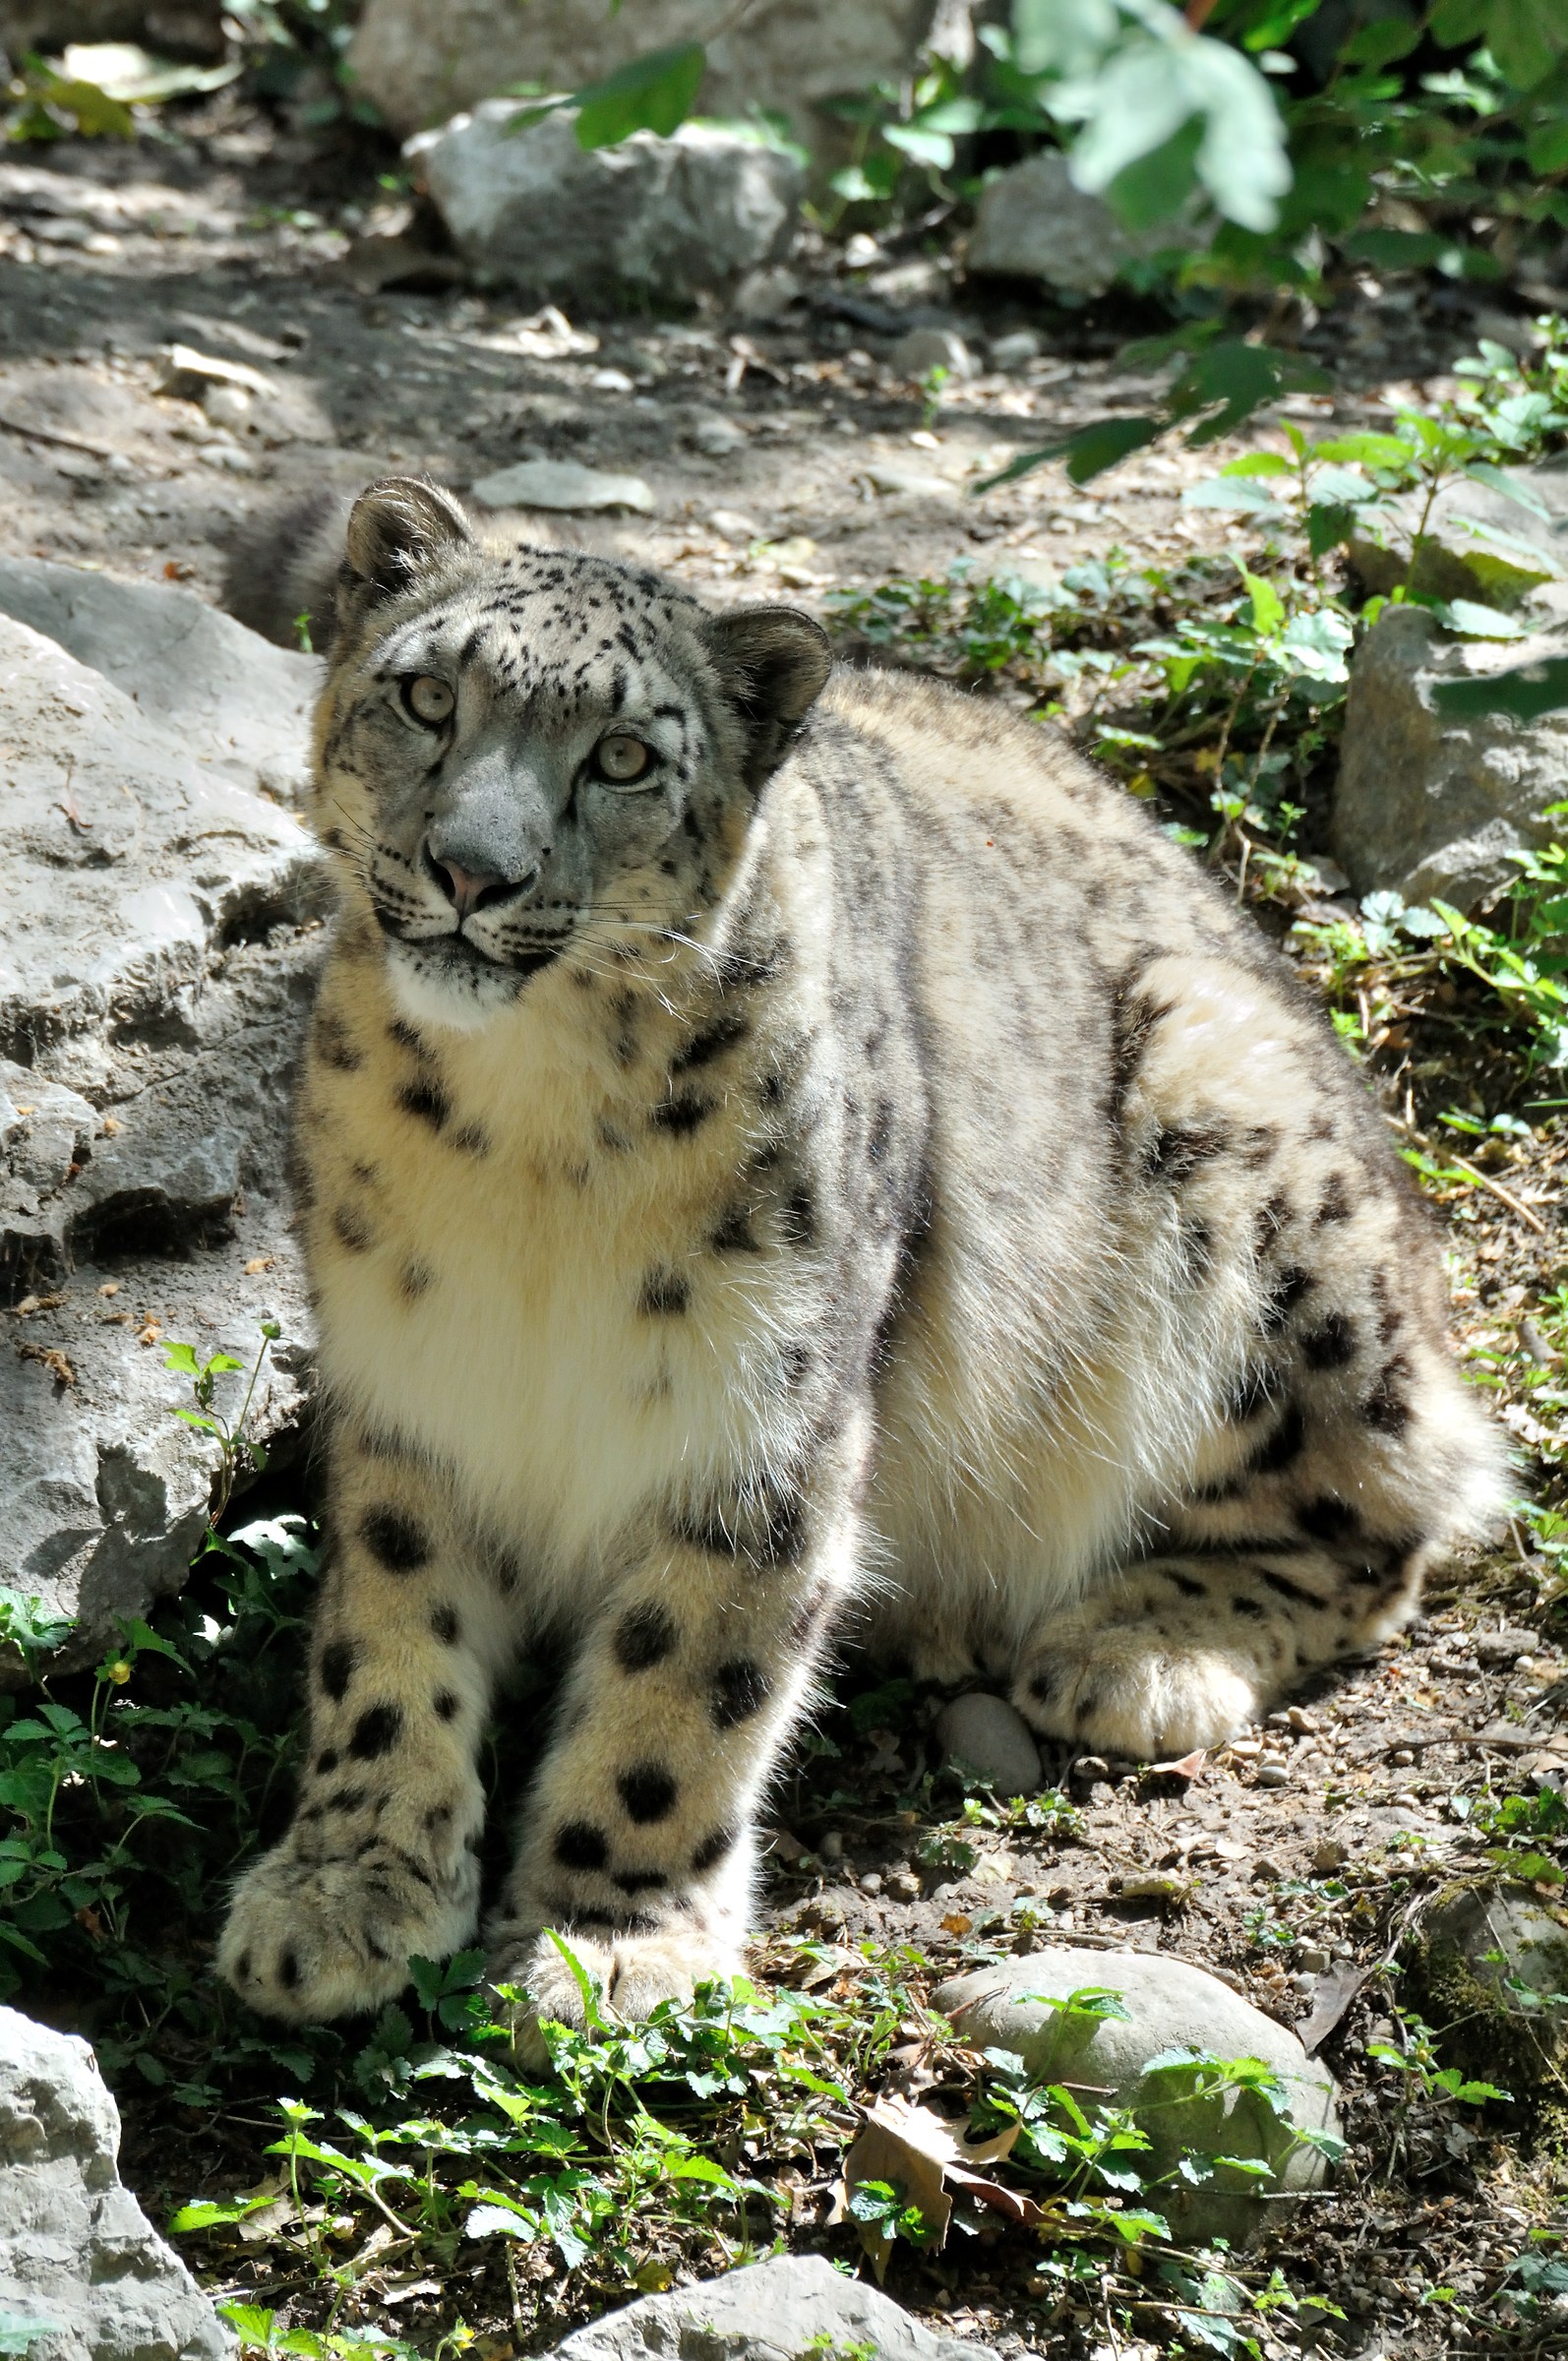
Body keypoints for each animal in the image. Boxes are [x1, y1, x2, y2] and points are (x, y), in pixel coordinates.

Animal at [216, 474, 1505, 2036]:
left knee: (1384, 1507)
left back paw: (1132, 1652)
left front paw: (608, 1936)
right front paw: (346, 1887)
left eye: (624, 756)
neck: (523, 1137)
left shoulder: (760, 1406)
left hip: (1239, 1160)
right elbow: (390, 1627)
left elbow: (684, 1676)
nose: (473, 869)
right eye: (424, 695)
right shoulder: (408, 1380)